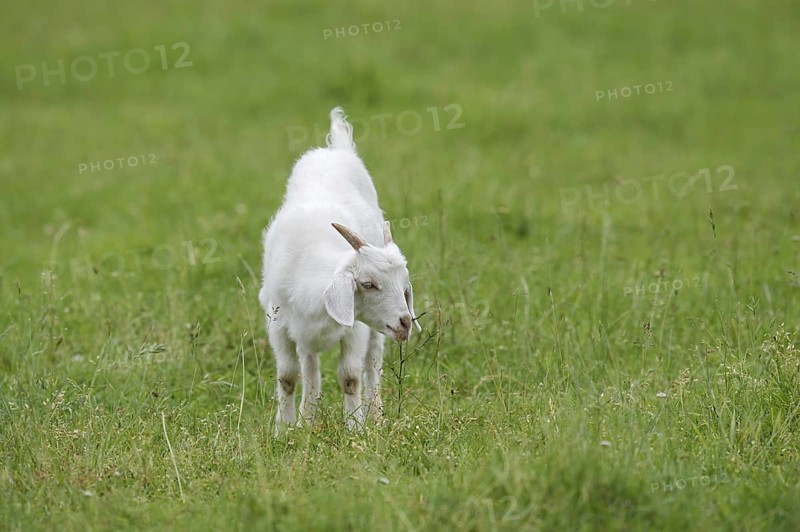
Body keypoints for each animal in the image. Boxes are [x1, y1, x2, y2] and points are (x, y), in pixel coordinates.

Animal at [259, 107, 420, 432]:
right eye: (368, 284)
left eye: (405, 287)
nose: (405, 323)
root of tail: (338, 147)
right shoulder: (277, 324)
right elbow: (287, 377)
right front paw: (284, 429)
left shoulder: (356, 328)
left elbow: (350, 377)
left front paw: (355, 427)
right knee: (310, 368)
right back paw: (308, 420)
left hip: (375, 333)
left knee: (373, 366)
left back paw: (376, 416)